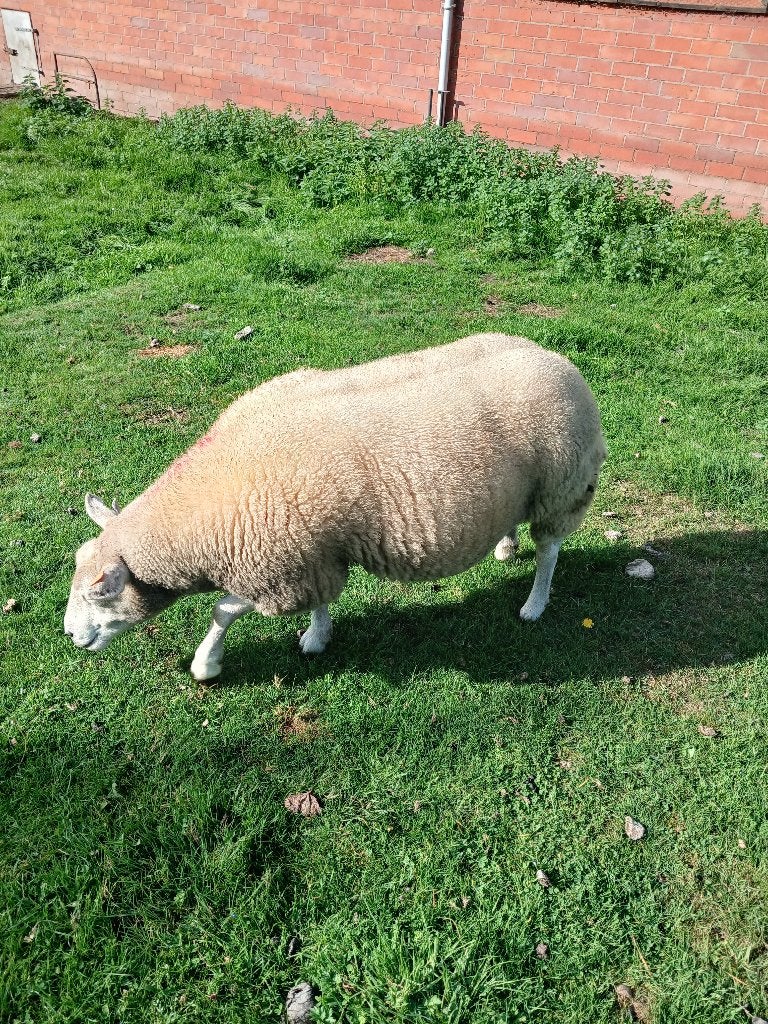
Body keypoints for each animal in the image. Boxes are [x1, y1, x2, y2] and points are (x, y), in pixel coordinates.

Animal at [64, 334, 606, 680]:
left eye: (101, 593)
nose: (71, 636)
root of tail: (555, 357)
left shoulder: (278, 565)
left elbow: (221, 608)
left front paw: (206, 665)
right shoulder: (308, 553)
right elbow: (320, 600)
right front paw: (317, 637)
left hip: (563, 484)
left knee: (550, 550)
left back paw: (534, 604)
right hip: (519, 489)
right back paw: (506, 545)